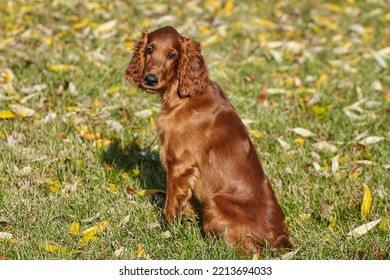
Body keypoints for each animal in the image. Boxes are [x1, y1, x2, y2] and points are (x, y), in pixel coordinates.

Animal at [125, 26, 292, 253]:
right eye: (149, 49)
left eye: (172, 55)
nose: (150, 79)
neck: (181, 95)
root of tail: (279, 240)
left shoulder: (180, 164)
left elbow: (171, 203)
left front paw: (168, 231)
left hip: (215, 203)